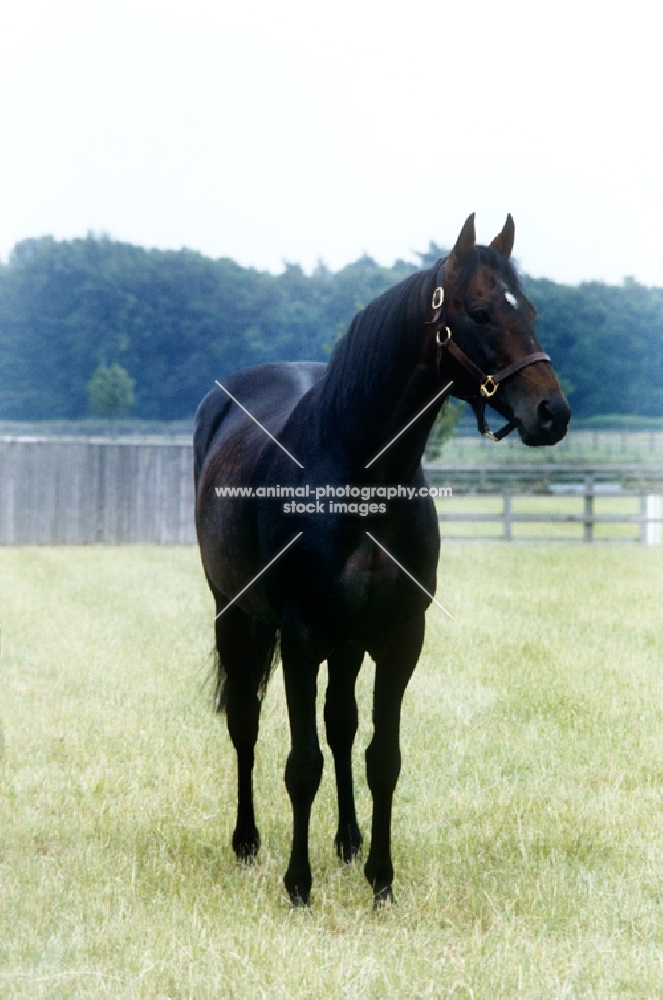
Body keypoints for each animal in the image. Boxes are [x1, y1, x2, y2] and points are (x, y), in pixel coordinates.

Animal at [192, 217, 572, 908]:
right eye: (480, 312)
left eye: (529, 310)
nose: (551, 413)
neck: (356, 475)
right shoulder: (299, 636)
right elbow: (301, 764)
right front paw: (298, 885)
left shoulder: (399, 637)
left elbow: (380, 757)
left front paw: (381, 880)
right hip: (235, 616)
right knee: (245, 723)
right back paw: (247, 842)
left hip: (345, 645)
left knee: (341, 725)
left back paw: (348, 840)